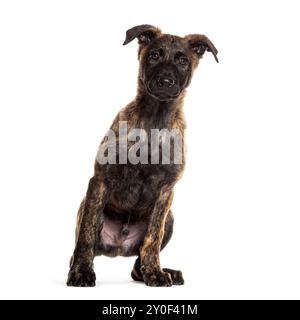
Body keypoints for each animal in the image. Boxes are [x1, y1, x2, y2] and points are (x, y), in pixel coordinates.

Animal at [66, 23, 218, 286]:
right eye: (154, 55)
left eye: (183, 61)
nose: (165, 81)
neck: (155, 120)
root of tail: (118, 247)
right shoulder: (100, 180)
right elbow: (86, 235)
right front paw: (81, 272)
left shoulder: (166, 192)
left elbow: (152, 239)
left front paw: (155, 272)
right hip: (86, 204)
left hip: (171, 217)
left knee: (137, 264)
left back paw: (162, 271)